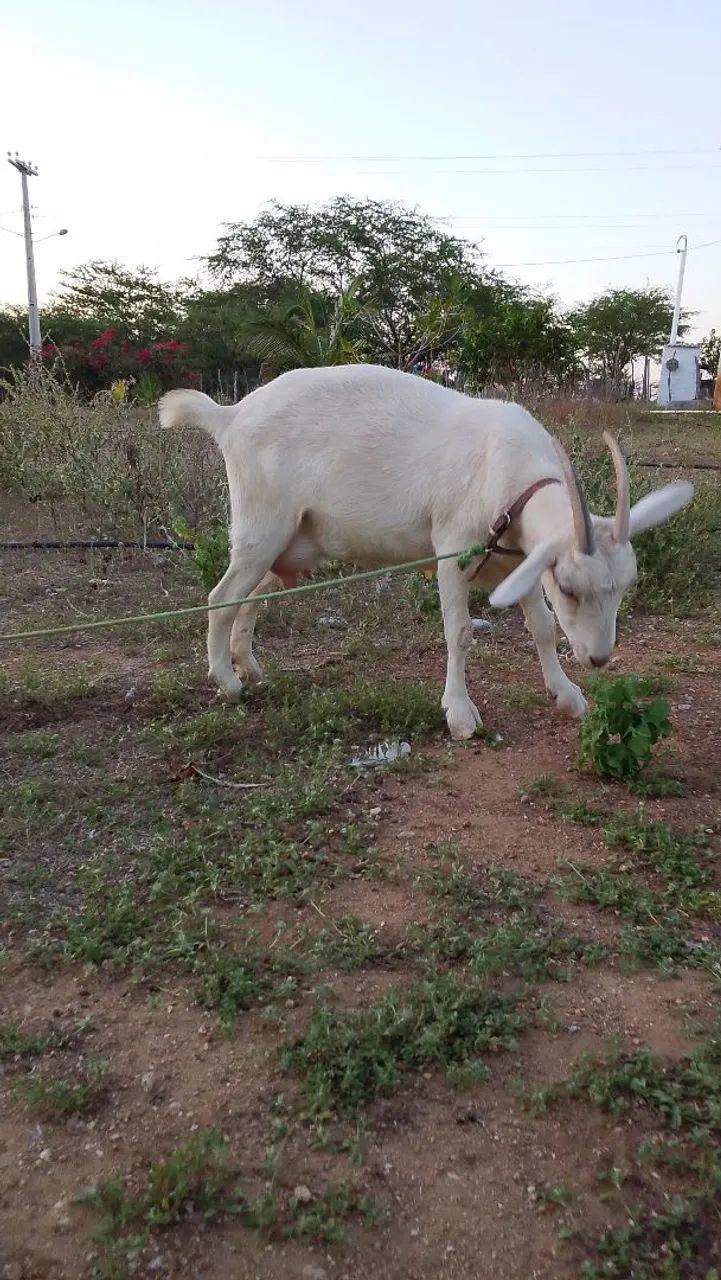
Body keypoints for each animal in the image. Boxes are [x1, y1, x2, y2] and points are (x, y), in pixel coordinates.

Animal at [159, 365, 693, 740]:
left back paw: (248, 665)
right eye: (568, 587)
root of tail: (229, 416)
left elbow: (542, 628)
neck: (503, 465)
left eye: (625, 586)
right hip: (262, 524)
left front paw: (565, 693)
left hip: (296, 543)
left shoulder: (520, 559)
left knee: (254, 593)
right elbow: (459, 633)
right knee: (222, 596)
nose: (600, 658)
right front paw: (460, 714)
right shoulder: (452, 551)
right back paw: (227, 682)